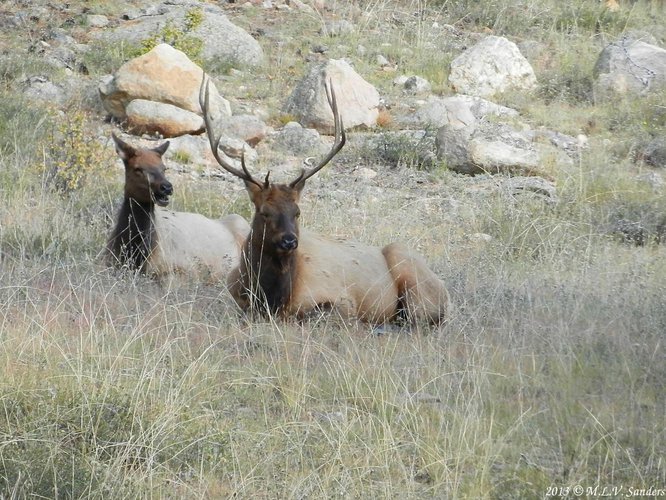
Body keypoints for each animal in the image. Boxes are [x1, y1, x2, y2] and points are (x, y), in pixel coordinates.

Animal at [197, 74, 446, 324]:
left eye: (297, 212)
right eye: (264, 212)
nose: (289, 241)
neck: (271, 298)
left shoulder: (343, 302)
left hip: (411, 275)